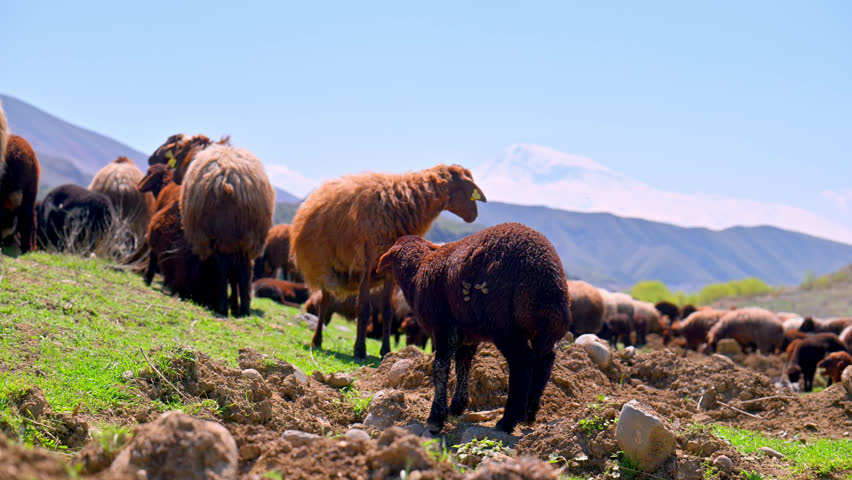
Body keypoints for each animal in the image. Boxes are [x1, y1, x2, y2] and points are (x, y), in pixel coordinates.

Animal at [179, 144, 275, 316]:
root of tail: (226, 181)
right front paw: (236, 305)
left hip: (222, 235)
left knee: (226, 269)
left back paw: (228, 307)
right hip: (242, 236)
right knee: (239, 271)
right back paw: (241, 309)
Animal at [291, 163, 486, 359]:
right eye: (464, 185)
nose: (475, 214)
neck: (406, 202)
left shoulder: (389, 272)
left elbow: (387, 312)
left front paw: (385, 350)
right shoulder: (367, 264)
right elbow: (364, 308)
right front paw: (359, 349)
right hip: (325, 267)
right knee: (324, 304)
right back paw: (317, 340)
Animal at [376, 222, 572, 434]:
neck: (418, 272)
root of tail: (546, 282)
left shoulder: (442, 325)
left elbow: (441, 366)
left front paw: (436, 418)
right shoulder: (468, 332)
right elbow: (463, 364)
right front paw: (456, 407)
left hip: (504, 326)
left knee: (523, 361)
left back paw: (508, 420)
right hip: (546, 330)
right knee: (545, 361)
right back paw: (529, 414)